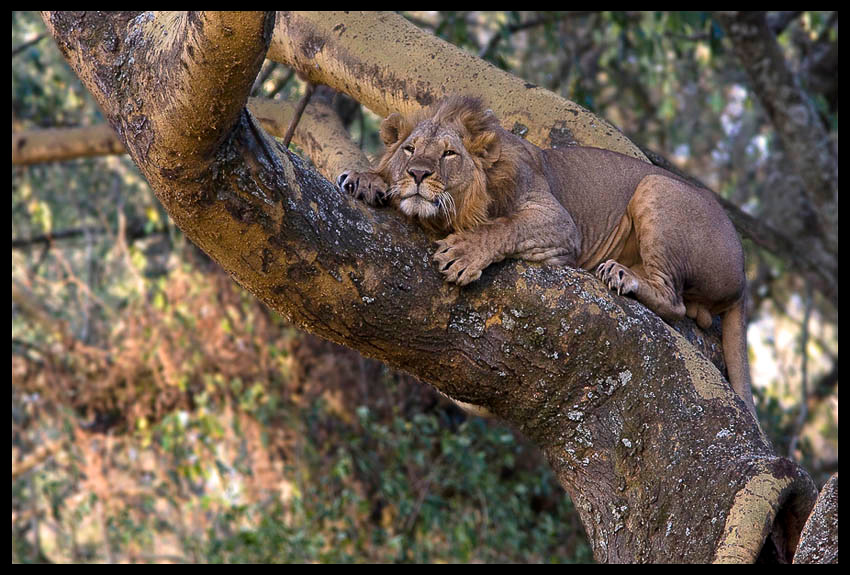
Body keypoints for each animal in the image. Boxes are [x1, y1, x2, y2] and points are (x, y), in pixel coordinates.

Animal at [337, 96, 755, 416]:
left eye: (449, 154)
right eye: (409, 149)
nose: (417, 174)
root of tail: (743, 276)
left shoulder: (559, 223)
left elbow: (504, 227)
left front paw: (465, 253)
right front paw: (365, 179)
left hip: (656, 185)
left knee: (674, 302)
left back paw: (622, 275)